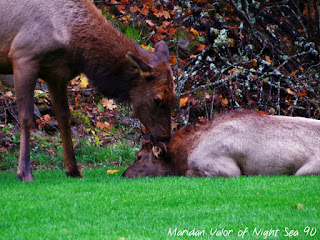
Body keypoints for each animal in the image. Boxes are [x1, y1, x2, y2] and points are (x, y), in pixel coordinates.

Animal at [0, 0, 175, 180]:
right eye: (157, 99)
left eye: (174, 97)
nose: (165, 138)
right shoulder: (23, 56)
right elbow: (26, 118)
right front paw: (24, 173)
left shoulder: (56, 75)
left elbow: (64, 119)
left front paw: (73, 170)